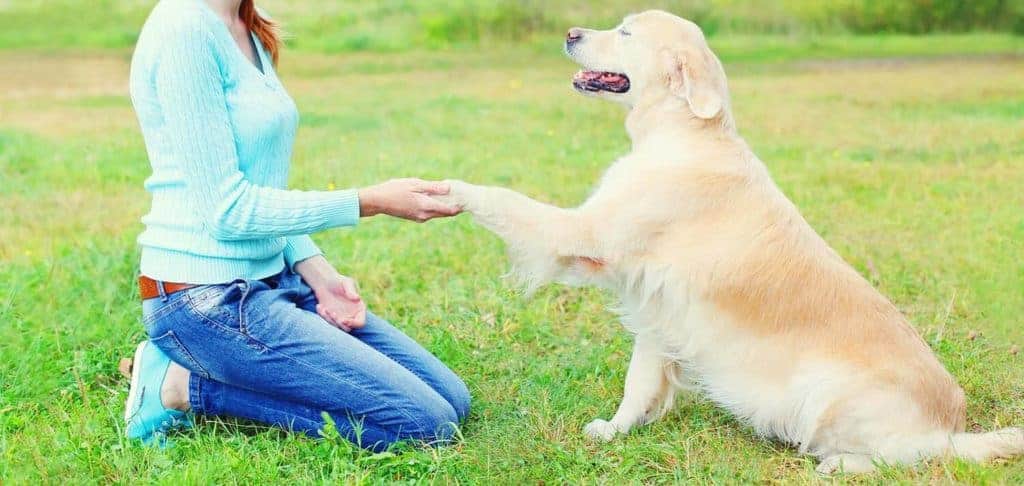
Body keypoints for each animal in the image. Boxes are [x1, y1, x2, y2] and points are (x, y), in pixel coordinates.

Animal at [434, 8, 1024, 474]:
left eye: (625, 32)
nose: (571, 32)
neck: (683, 135)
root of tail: (951, 425)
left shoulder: (583, 234)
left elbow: (507, 201)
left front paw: (449, 188)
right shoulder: (656, 305)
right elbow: (639, 383)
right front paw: (617, 430)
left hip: (829, 397)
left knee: (910, 457)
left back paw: (839, 463)